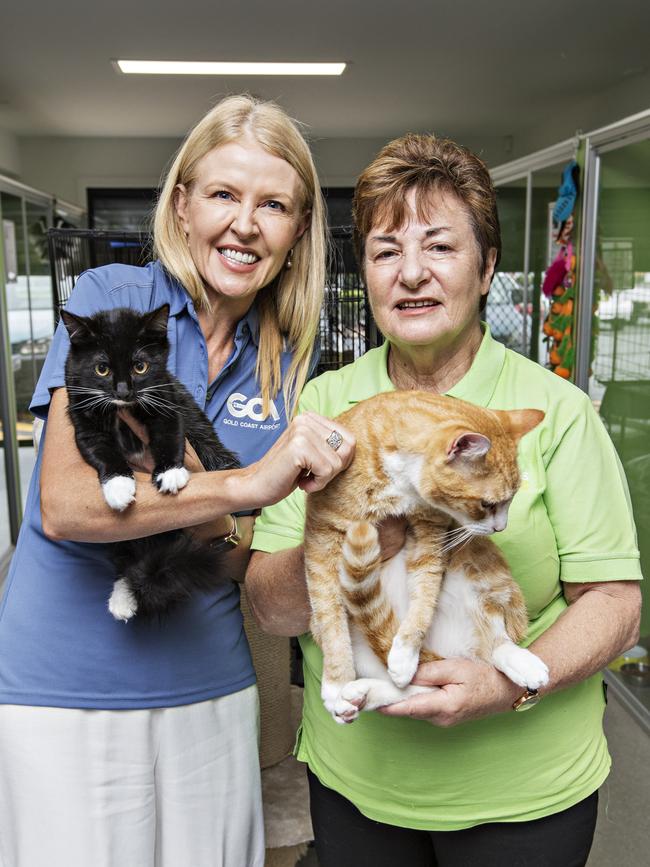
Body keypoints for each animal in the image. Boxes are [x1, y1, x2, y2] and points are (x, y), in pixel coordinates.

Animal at [59, 302, 238, 620]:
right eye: (101, 369)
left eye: (139, 366)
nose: (122, 390)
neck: (122, 411)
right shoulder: (82, 413)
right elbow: (101, 452)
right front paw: (118, 486)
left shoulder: (167, 397)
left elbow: (170, 434)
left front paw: (171, 472)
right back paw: (123, 598)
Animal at [304, 390, 548, 724]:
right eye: (486, 504)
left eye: (510, 500)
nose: (501, 527)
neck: (400, 483)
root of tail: (458, 649)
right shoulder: (322, 537)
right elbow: (329, 617)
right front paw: (336, 683)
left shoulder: (430, 535)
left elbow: (425, 594)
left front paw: (405, 653)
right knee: (424, 686)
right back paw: (360, 692)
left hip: (476, 562)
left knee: (493, 644)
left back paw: (522, 662)